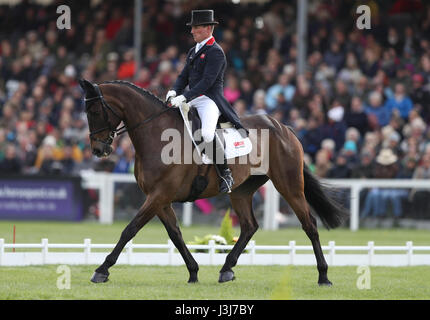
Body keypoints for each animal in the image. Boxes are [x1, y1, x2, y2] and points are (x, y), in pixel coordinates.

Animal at [80, 79, 350, 286]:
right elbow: (175, 234)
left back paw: (324, 276)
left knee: (309, 224)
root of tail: (283, 127)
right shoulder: (160, 199)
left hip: (289, 186)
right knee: (249, 226)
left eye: (95, 112)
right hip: (241, 191)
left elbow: (130, 229)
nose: (98, 150)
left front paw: (101, 270)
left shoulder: (159, 195)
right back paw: (226, 269)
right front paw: (193, 272)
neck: (156, 133)